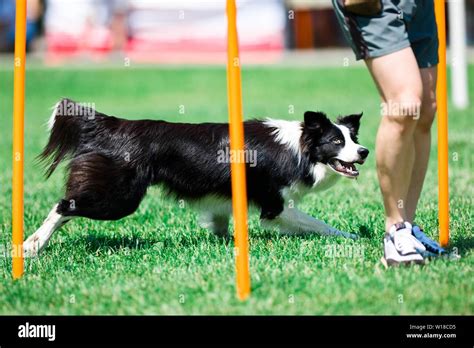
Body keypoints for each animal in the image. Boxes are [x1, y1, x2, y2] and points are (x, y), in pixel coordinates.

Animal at [24, 98, 368, 256]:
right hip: (120, 197)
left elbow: (219, 222)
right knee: (63, 206)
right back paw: (32, 245)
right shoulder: (276, 206)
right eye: (336, 141)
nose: (364, 152)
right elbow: (320, 225)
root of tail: (118, 125)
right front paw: (352, 237)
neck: (299, 146)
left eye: (353, 138)